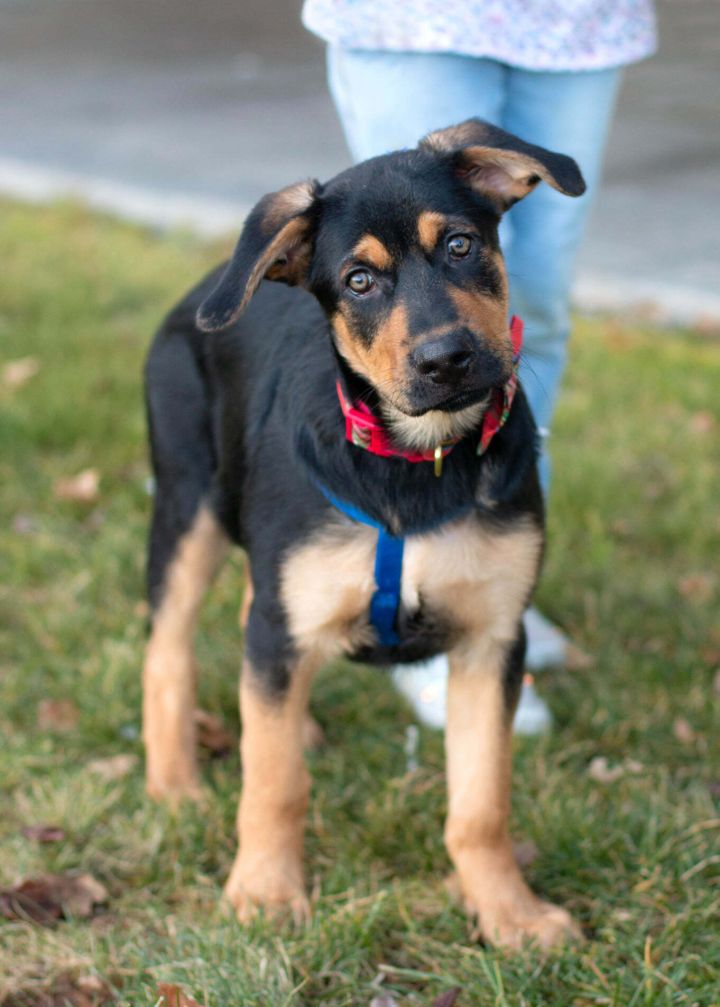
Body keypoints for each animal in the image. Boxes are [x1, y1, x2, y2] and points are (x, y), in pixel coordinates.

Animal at [145, 119, 584, 950]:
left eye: (461, 245)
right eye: (358, 281)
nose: (447, 359)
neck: (418, 459)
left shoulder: (492, 639)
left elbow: (482, 803)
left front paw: (509, 912)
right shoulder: (282, 618)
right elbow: (274, 783)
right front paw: (266, 891)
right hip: (188, 506)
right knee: (169, 651)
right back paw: (175, 785)